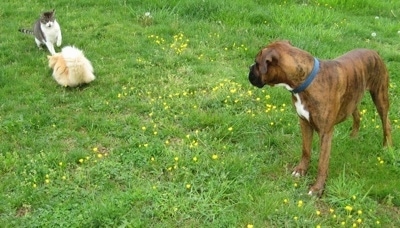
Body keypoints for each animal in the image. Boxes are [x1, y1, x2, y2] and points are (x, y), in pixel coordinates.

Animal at [248, 40, 392, 196]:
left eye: (257, 63)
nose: (249, 68)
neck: (306, 81)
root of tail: (374, 52)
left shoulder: (325, 133)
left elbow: (322, 163)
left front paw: (317, 189)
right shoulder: (304, 123)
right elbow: (306, 150)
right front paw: (300, 170)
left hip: (380, 96)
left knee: (386, 123)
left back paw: (387, 147)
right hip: (353, 98)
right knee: (357, 114)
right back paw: (353, 136)